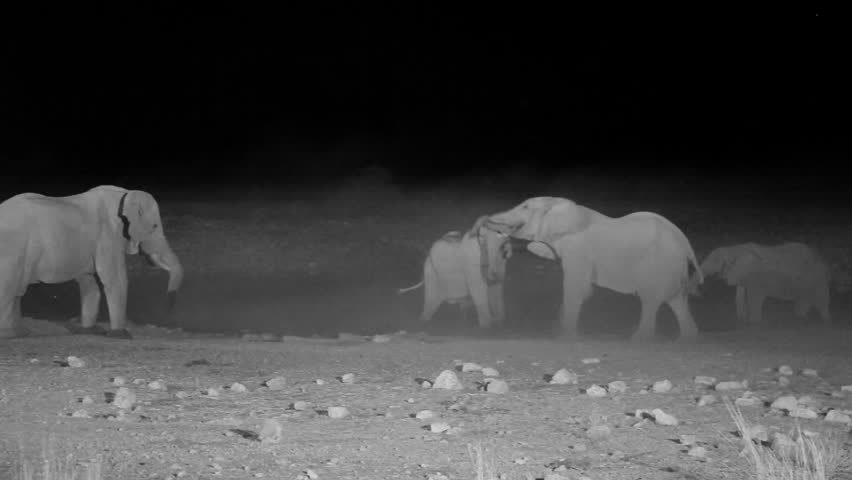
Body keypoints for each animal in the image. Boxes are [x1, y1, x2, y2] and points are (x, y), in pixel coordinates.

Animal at [0, 185, 184, 339]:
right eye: (154, 226)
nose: (167, 308)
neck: (125, 194)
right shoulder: (108, 236)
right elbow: (114, 279)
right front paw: (120, 335)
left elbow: (90, 282)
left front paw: (89, 331)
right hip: (13, 248)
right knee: (9, 286)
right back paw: (9, 334)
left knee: (17, 290)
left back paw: (20, 332)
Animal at [484, 197, 702, 341]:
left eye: (525, 207)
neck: (559, 204)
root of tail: (686, 244)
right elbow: (582, 289)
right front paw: (559, 330)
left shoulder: (577, 248)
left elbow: (576, 288)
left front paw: (565, 336)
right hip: (673, 268)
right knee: (677, 300)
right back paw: (687, 340)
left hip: (658, 264)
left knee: (651, 299)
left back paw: (638, 340)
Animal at [694, 242, 831, 326]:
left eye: (715, 261)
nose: (700, 294)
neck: (734, 249)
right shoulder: (740, 273)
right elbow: (739, 297)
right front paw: (742, 321)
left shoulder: (755, 275)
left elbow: (755, 298)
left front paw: (754, 323)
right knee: (805, 299)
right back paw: (800, 317)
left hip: (816, 277)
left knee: (820, 297)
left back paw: (826, 320)